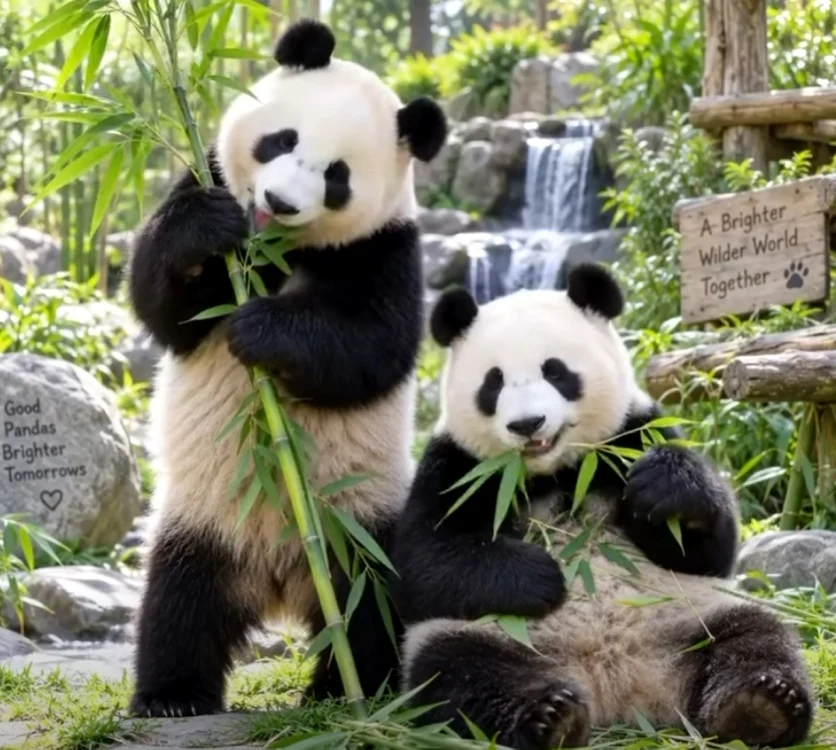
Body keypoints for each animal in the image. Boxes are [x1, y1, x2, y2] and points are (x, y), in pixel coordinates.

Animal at [127, 19, 447, 717]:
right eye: (282, 139)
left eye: (337, 176)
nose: (278, 200)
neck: (276, 249)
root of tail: (274, 580)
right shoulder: (206, 178)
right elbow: (164, 306)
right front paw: (204, 231)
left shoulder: (386, 247)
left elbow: (371, 347)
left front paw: (261, 330)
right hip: (199, 523)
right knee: (176, 608)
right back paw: (172, 696)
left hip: (363, 525)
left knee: (373, 609)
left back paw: (354, 692)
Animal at [391, 263, 813, 749]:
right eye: (493, 382)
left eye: (556, 372)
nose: (527, 424)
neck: (556, 472)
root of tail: (616, 681)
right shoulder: (458, 466)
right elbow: (422, 564)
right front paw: (543, 575)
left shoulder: (634, 432)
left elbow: (711, 550)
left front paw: (665, 485)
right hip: (489, 635)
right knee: (460, 673)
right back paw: (551, 718)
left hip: (692, 616)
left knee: (755, 637)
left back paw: (759, 706)